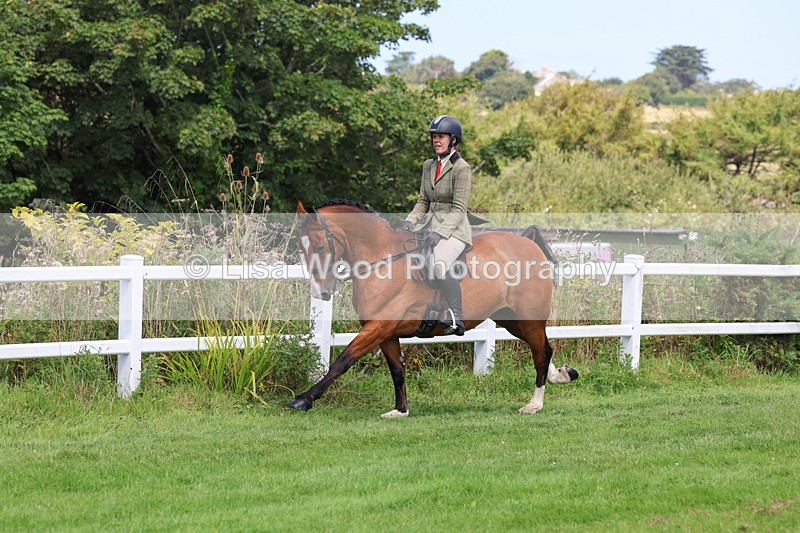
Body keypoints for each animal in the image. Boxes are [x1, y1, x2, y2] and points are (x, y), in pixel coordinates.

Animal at [289, 199, 578, 417]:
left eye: (320, 246)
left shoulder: (378, 326)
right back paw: (561, 375)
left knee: (541, 353)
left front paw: (304, 399)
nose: (320, 292)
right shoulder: (385, 332)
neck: (382, 260)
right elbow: (397, 370)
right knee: (543, 349)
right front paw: (400, 410)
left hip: (528, 319)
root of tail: (528, 243)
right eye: (301, 248)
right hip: (510, 320)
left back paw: (534, 405)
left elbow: (342, 360)